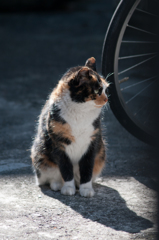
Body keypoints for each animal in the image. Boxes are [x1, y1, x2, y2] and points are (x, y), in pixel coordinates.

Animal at [31, 57, 109, 197]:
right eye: (97, 90)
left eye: (106, 89)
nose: (106, 99)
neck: (80, 113)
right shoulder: (58, 144)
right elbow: (66, 168)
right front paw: (68, 188)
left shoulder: (92, 143)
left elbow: (87, 168)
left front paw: (86, 189)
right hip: (40, 154)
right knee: (50, 176)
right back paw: (57, 185)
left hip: (101, 153)